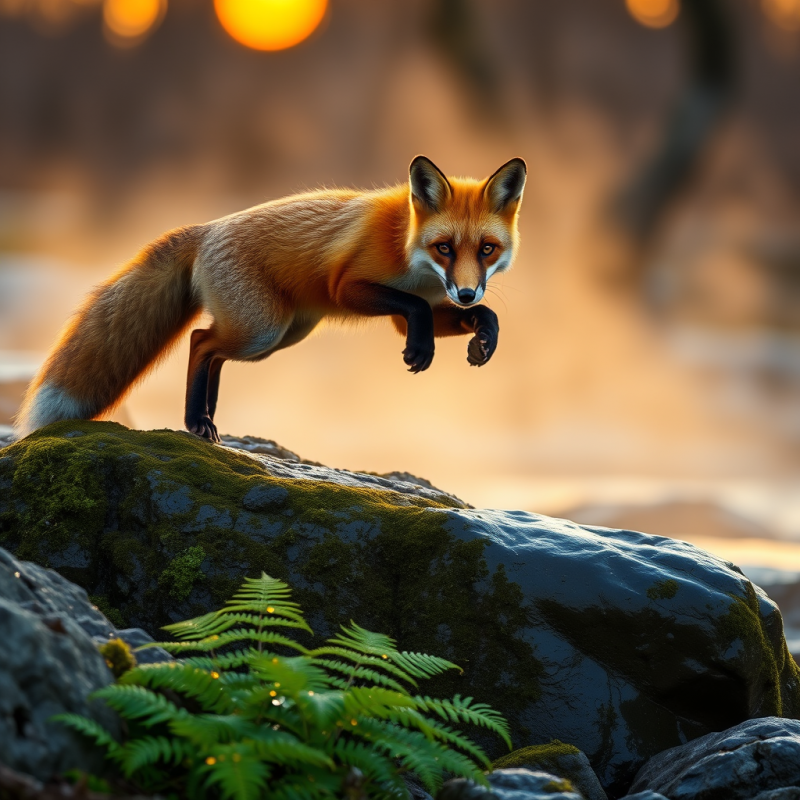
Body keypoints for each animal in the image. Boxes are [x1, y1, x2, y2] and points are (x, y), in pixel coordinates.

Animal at [15, 155, 526, 443]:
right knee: (201, 341)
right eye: (445, 248)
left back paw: (207, 419)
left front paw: (483, 338)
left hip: (281, 333)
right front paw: (422, 351)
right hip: (264, 330)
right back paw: (195, 421)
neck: (407, 244)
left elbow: (479, 312)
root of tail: (206, 228)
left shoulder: (418, 305)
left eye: (486, 249)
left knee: (213, 352)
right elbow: (416, 310)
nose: (464, 290)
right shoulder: (349, 285)